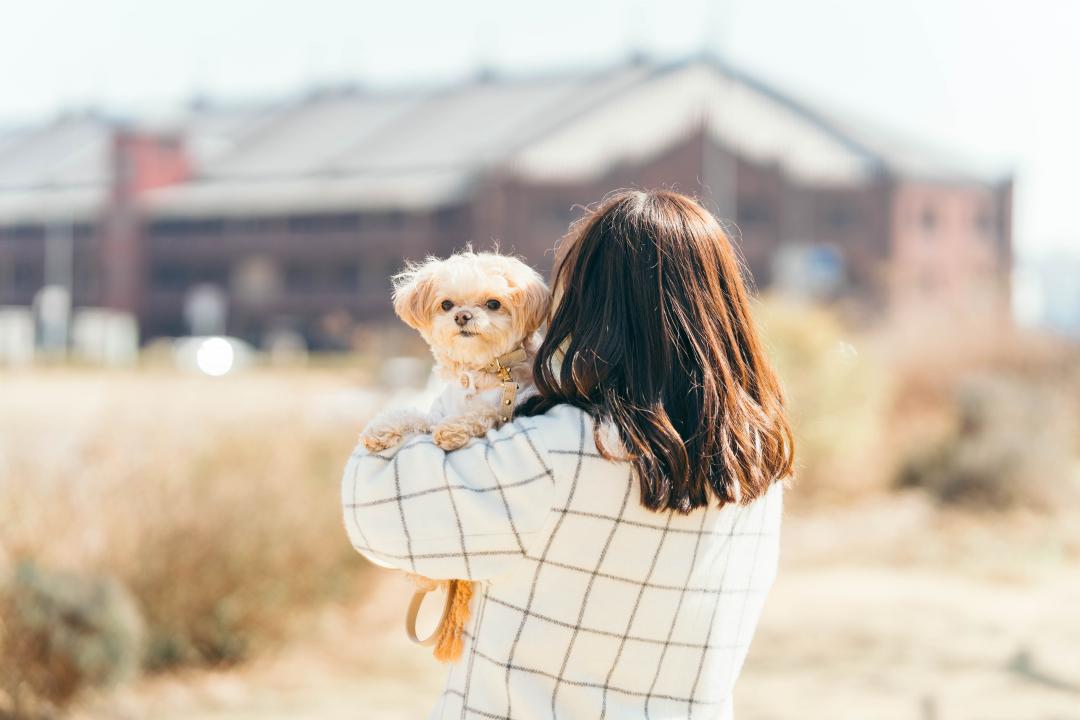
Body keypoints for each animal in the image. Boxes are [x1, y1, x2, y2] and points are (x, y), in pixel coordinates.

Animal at [360, 249, 548, 664]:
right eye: (446, 304)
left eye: (493, 303)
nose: (462, 316)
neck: (478, 372)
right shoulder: (436, 410)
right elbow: (413, 415)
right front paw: (380, 430)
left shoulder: (501, 409)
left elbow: (475, 416)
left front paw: (452, 432)